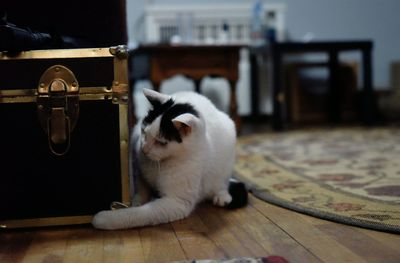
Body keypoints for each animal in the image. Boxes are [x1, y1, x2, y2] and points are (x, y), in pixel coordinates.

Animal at [92, 89, 247, 231]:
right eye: (144, 132)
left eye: (161, 142)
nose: (144, 149)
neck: (159, 164)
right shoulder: (139, 173)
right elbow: (140, 193)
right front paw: (134, 202)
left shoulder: (177, 201)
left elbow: (138, 214)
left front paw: (105, 218)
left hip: (227, 154)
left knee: (222, 183)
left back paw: (222, 196)